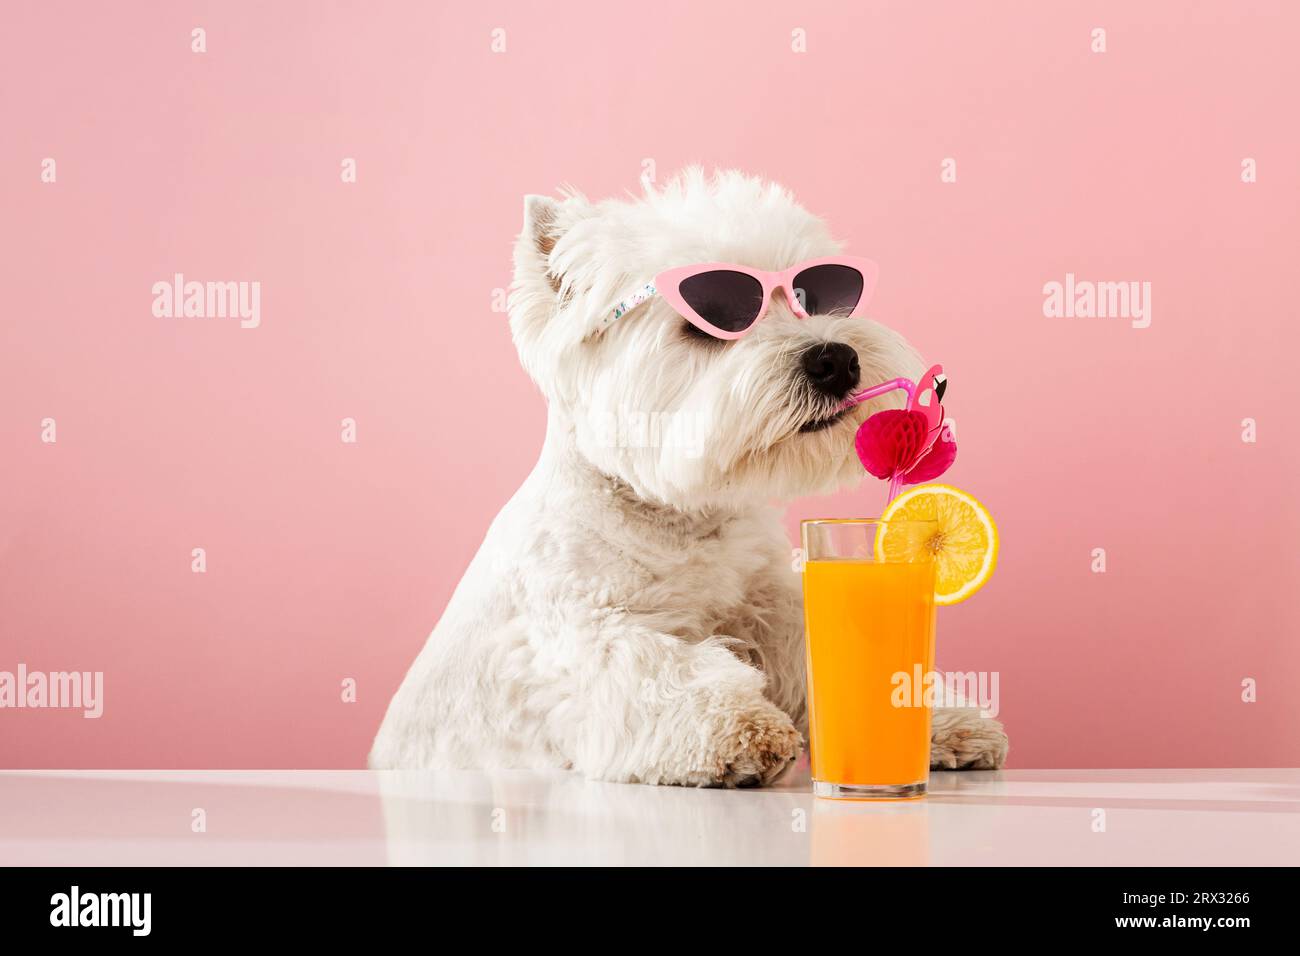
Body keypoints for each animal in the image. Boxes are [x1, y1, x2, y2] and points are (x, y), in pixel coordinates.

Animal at [371, 170, 1008, 785]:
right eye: (710, 324)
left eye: (811, 295)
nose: (835, 361)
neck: (685, 518)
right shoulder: (582, 630)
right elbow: (661, 668)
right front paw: (745, 730)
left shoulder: (774, 608)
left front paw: (942, 721)